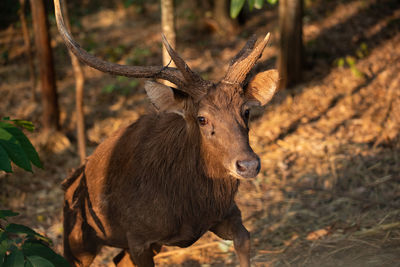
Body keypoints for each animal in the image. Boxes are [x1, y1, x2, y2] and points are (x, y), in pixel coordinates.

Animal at [53, 0, 278, 266]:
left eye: (246, 111)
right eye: (202, 118)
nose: (248, 164)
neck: (190, 207)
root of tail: (69, 184)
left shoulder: (226, 214)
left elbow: (244, 239)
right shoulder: (137, 237)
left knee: (118, 259)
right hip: (77, 239)